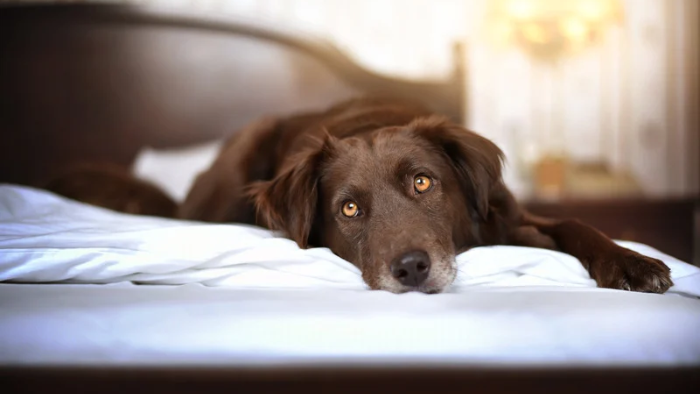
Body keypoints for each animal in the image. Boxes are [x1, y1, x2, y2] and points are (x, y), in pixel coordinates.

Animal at [170, 97, 672, 296]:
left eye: (423, 183)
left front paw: (632, 263)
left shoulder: (507, 214)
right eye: (349, 208)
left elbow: (574, 224)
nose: (411, 268)